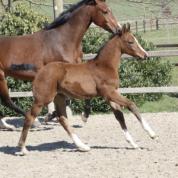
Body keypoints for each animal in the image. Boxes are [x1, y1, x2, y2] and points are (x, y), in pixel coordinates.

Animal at [0, 0, 120, 131]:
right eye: (105, 11)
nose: (118, 29)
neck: (62, 41)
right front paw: (50, 117)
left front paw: (83, 116)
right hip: (1, 76)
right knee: (6, 101)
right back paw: (33, 122)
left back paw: (7, 125)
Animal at [16, 24, 156, 156]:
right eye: (131, 41)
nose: (145, 55)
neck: (104, 66)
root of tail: (40, 71)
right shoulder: (110, 93)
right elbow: (131, 105)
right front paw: (152, 134)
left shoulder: (110, 96)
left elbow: (119, 116)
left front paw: (133, 143)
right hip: (42, 99)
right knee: (29, 117)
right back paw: (22, 148)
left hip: (59, 97)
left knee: (63, 119)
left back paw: (82, 146)